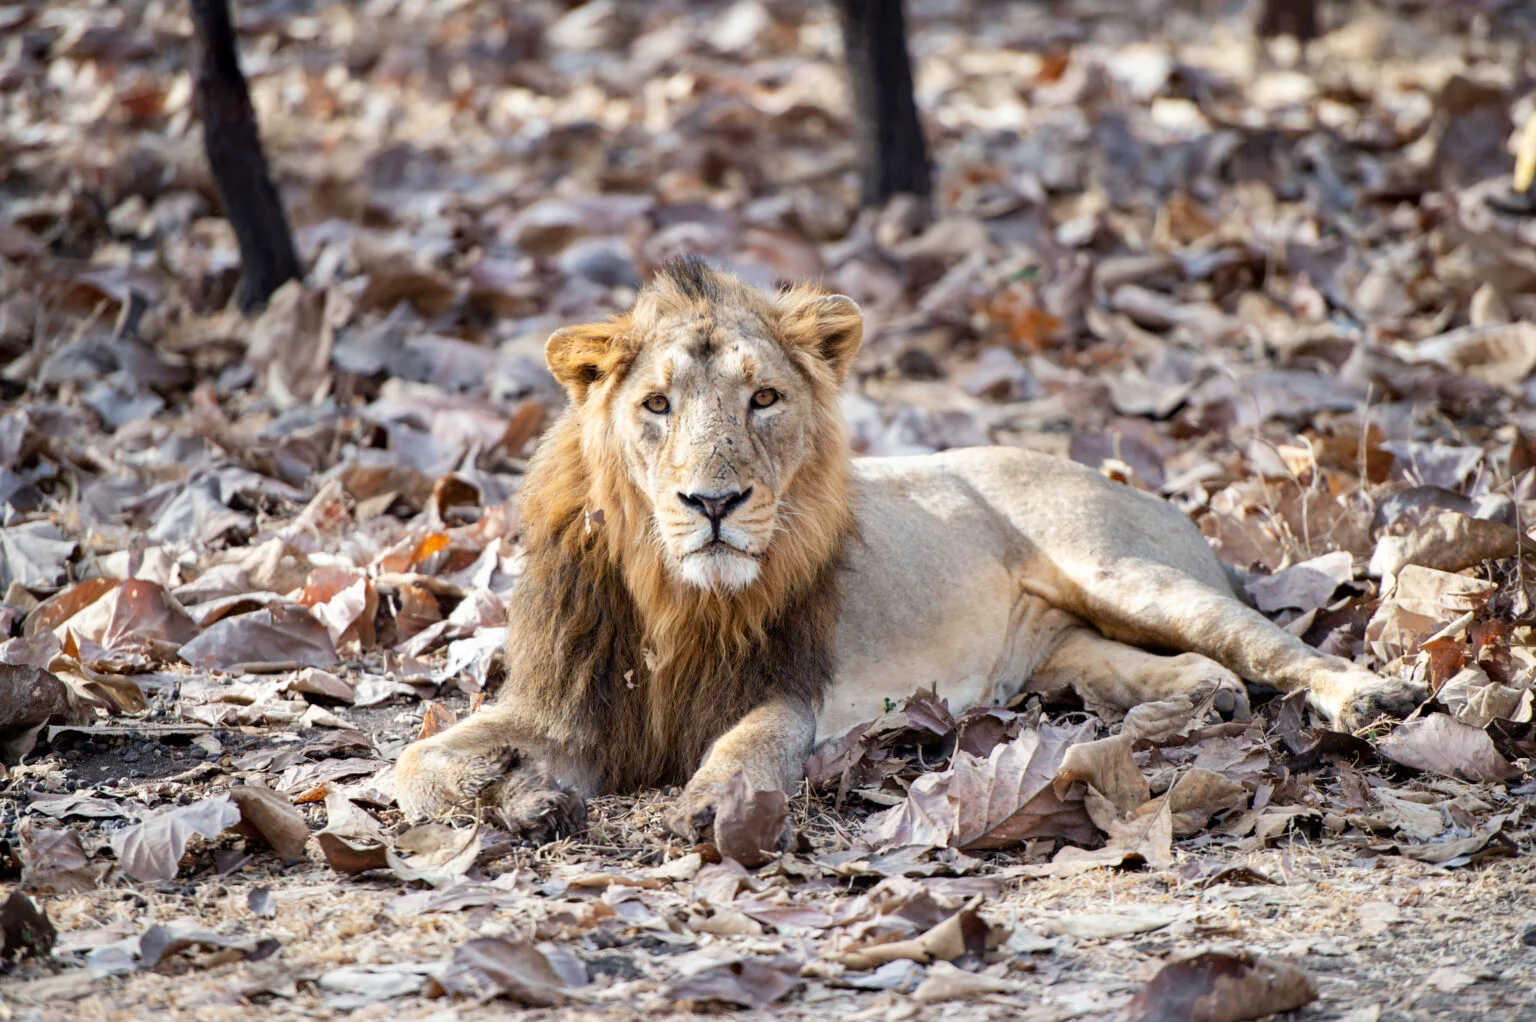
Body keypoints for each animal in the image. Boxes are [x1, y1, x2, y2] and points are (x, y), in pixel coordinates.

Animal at [394, 255, 1421, 842]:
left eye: (763, 398)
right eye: (656, 405)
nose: (714, 502)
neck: (670, 595)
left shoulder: (787, 689)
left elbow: (751, 746)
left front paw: (716, 805)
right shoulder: (567, 706)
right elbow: (414, 767)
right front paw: (527, 800)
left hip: (1124, 573)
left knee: (1268, 648)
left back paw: (1369, 699)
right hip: (1065, 652)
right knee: (1199, 676)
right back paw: (1154, 722)